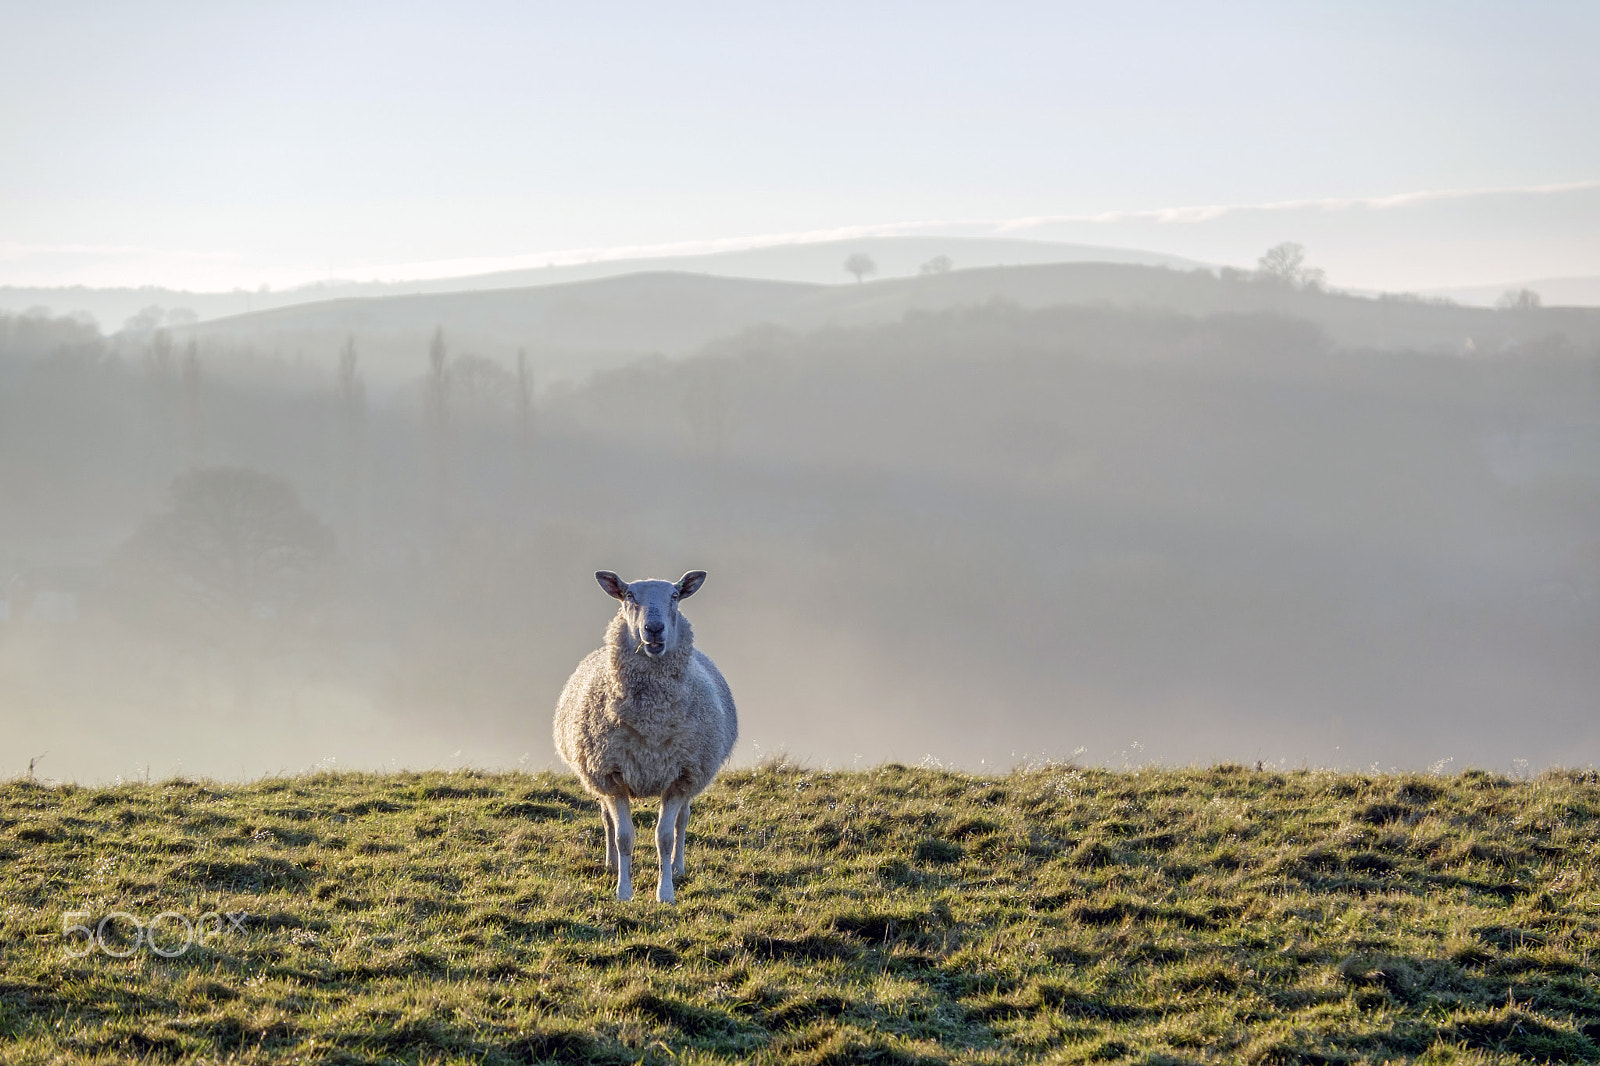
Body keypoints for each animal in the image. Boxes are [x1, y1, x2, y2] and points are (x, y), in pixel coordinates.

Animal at [553, 569, 737, 902]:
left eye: (675, 596)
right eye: (629, 596)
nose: (654, 629)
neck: (651, 721)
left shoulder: (680, 776)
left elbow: (665, 838)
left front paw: (665, 893)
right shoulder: (612, 776)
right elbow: (623, 836)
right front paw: (623, 891)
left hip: (693, 776)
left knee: (682, 821)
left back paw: (678, 868)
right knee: (607, 819)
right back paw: (612, 863)